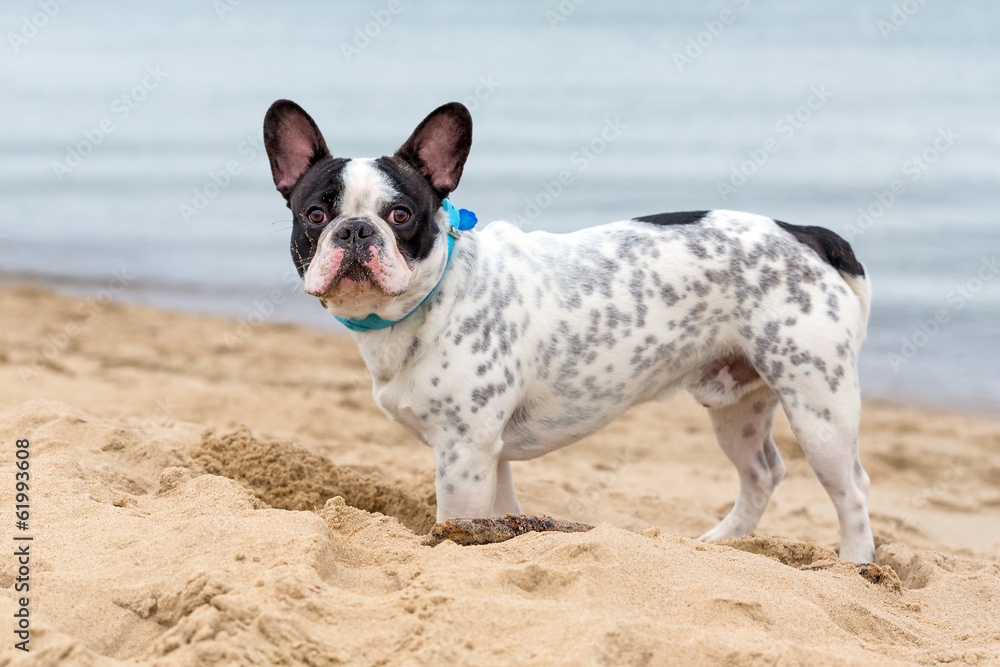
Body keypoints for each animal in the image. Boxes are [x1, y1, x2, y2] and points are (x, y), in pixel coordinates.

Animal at [260, 99, 876, 564]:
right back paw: (721, 544)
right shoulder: (489, 456)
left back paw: (854, 565)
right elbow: (498, 514)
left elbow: (457, 520)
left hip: (819, 408)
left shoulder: (463, 454)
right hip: (737, 406)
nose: (356, 230)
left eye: (401, 216)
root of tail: (805, 233)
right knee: (761, 474)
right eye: (315, 215)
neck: (432, 299)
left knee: (851, 490)